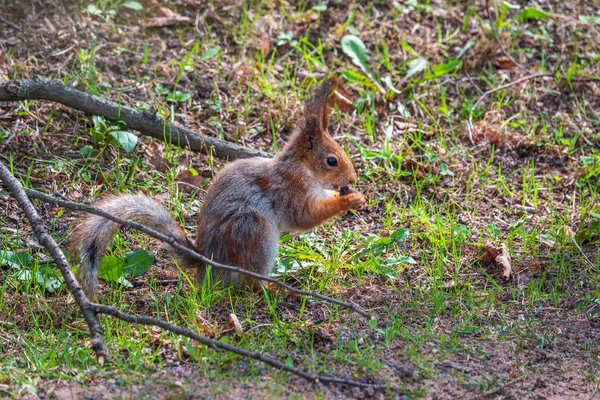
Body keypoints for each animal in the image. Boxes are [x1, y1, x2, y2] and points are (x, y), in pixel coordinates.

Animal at [72, 79, 368, 298]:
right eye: (332, 161)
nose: (352, 177)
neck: (303, 168)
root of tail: (208, 262)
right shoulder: (291, 191)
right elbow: (305, 217)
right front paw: (349, 201)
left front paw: (352, 195)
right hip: (253, 232)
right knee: (250, 284)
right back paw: (276, 290)